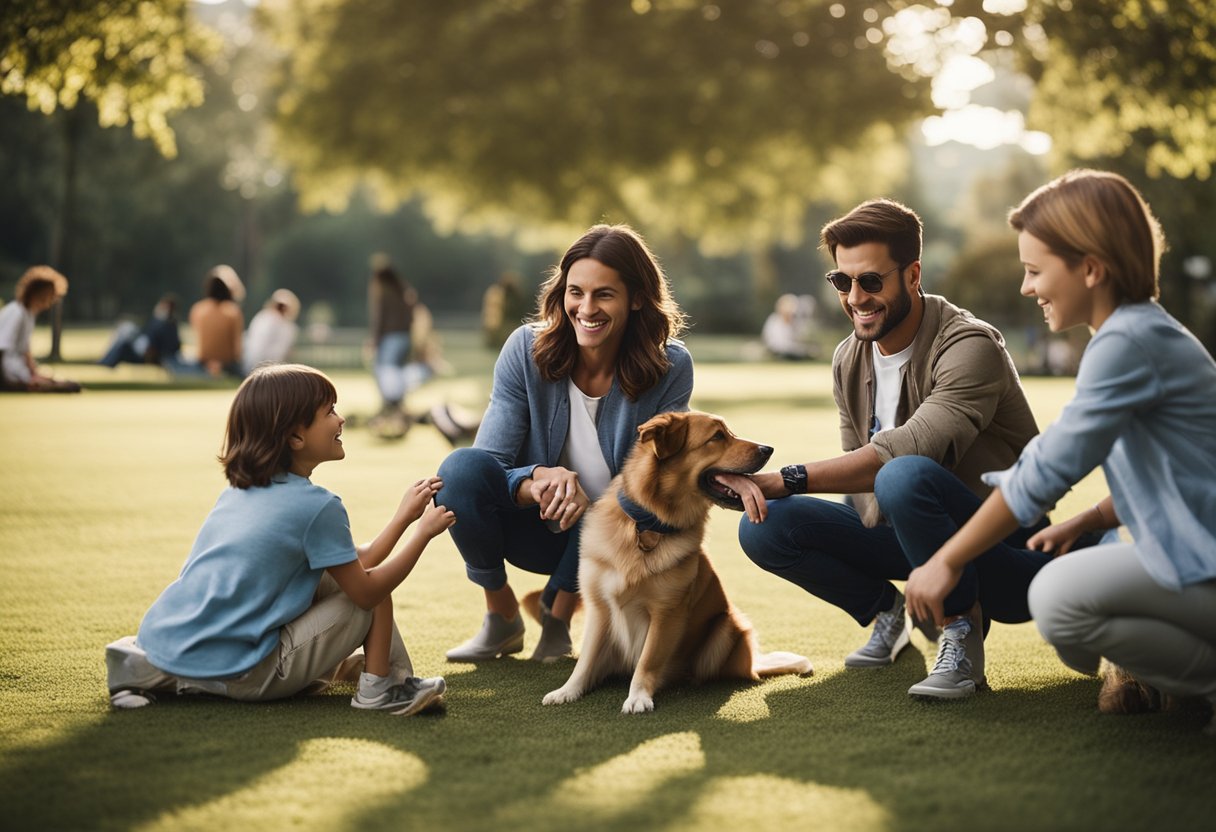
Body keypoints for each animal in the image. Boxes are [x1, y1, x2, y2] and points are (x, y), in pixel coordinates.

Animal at [547, 413, 812, 710]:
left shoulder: (667, 613)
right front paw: (567, 691)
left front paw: (638, 697)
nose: (768, 449)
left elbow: (648, 660)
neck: (647, 525)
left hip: (727, 626)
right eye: (717, 436)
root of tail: (753, 663)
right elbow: (586, 660)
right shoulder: (599, 608)